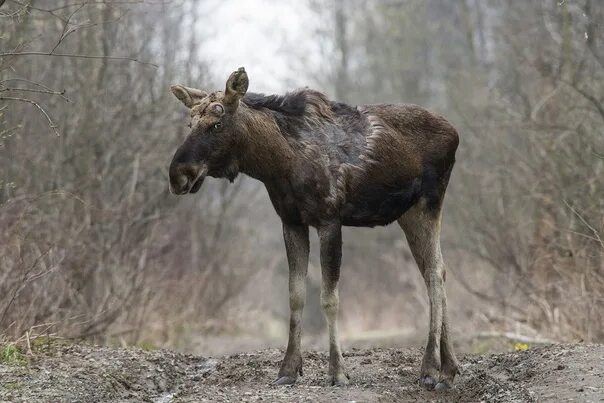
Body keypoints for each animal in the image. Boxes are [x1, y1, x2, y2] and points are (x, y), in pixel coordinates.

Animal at [168, 68, 460, 390]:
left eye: (216, 123)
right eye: (190, 123)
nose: (178, 175)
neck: (275, 164)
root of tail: (455, 133)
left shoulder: (329, 220)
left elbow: (329, 298)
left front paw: (338, 371)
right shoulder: (292, 221)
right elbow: (296, 296)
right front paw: (288, 369)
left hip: (428, 203)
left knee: (434, 274)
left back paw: (431, 368)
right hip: (408, 214)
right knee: (437, 270)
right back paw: (449, 368)